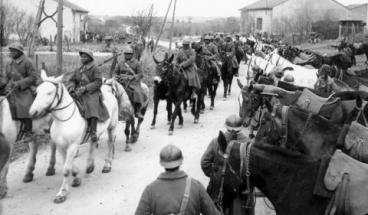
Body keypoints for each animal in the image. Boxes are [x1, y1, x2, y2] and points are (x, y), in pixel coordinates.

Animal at [28, 71, 118, 204]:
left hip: (112, 127)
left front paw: (62, 193)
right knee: (93, 143)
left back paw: (107, 165)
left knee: (110, 143)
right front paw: (76, 176)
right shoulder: (61, 146)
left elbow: (66, 169)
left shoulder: (72, 146)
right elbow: (68, 164)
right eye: (38, 91)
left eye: (49, 92)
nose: (32, 113)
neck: (63, 119)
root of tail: (110, 94)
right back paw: (90, 166)